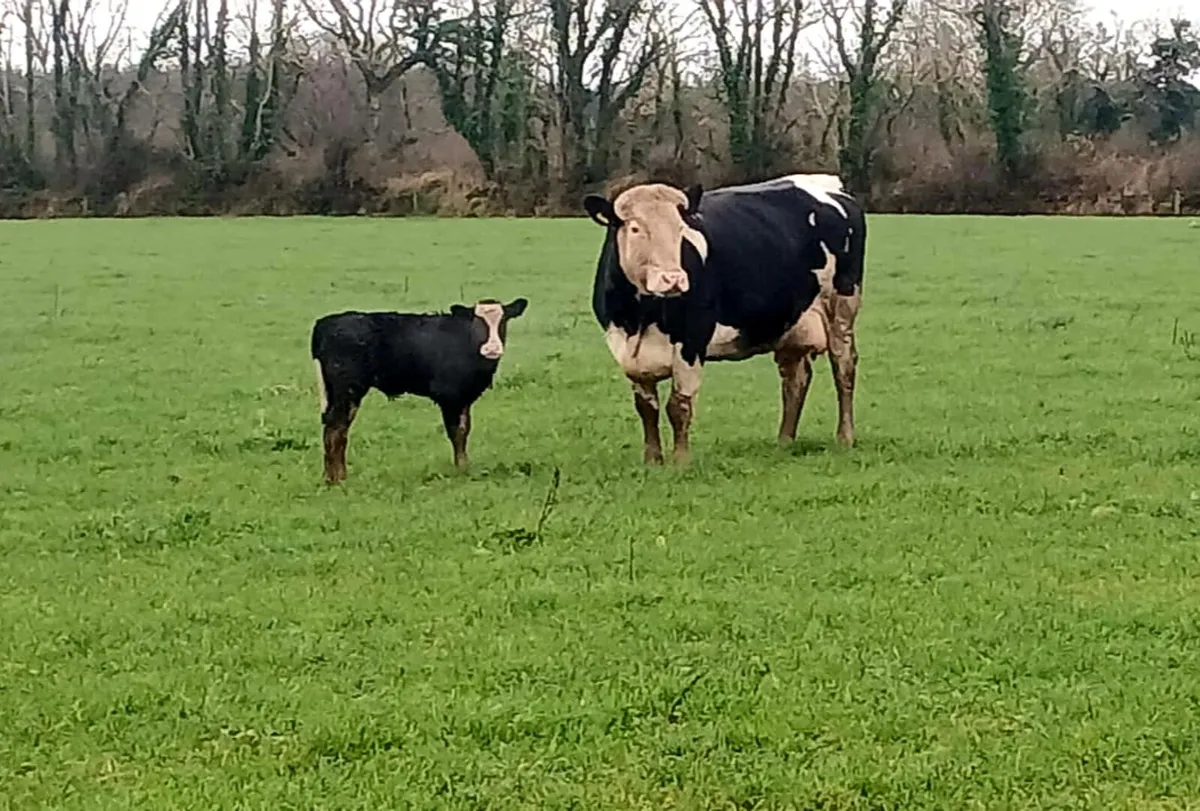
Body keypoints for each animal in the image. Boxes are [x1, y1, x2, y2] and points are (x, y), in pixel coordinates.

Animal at [310, 298, 528, 483]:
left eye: (503, 321)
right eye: (477, 321)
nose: (492, 349)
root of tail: (325, 323)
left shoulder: (464, 397)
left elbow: (465, 430)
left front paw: (465, 466)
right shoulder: (449, 396)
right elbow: (456, 432)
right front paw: (460, 469)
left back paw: (331, 477)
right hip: (348, 390)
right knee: (336, 429)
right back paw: (338, 479)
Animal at [583, 174, 866, 464]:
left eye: (681, 229)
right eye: (635, 228)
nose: (673, 279)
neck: (638, 319)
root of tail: (825, 182)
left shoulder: (692, 341)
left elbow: (679, 406)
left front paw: (680, 462)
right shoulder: (627, 353)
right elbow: (646, 408)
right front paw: (653, 461)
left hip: (842, 307)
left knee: (843, 367)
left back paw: (845, 437)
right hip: (790, 324)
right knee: (795, 379)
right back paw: (784, 442)